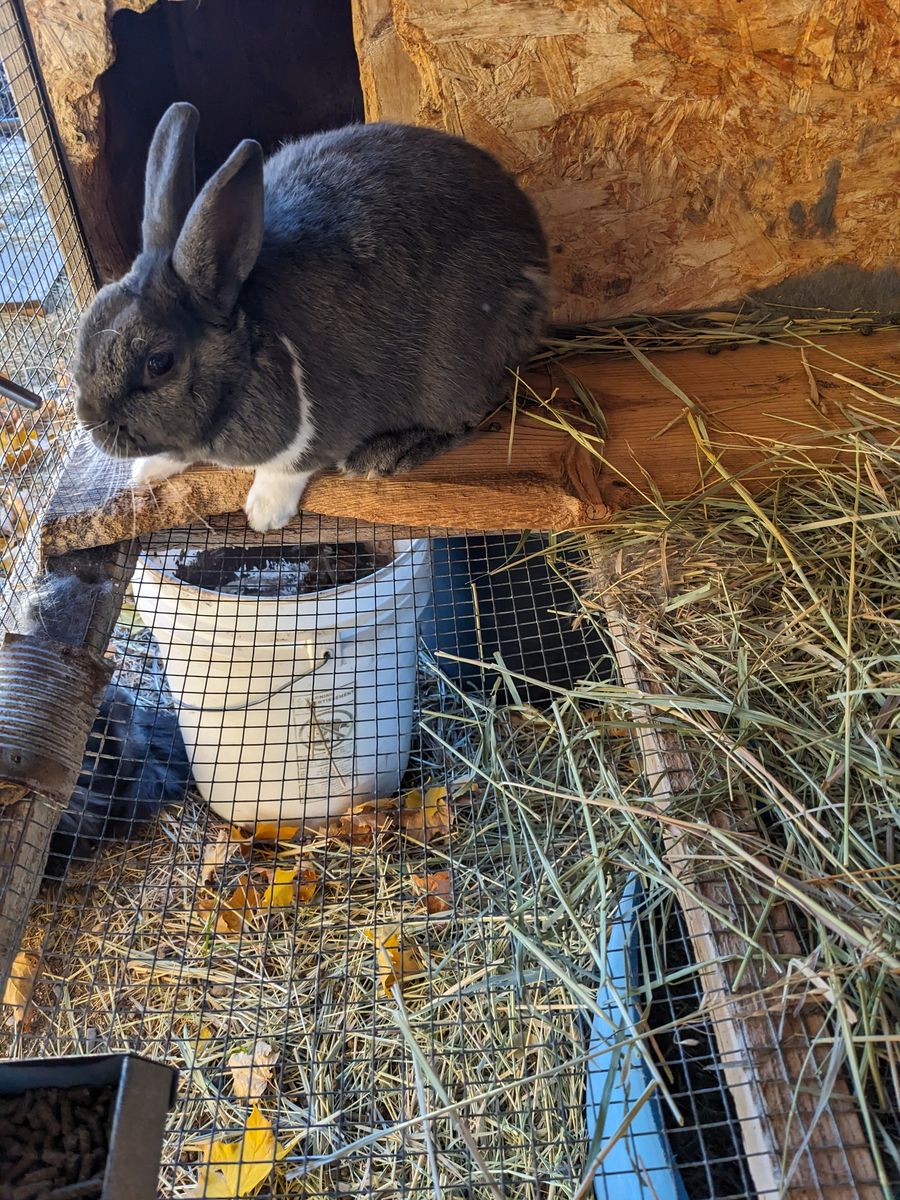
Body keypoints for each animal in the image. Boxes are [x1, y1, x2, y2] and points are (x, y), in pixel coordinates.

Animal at [73, 103, 550, 532]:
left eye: (159, 363)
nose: (93, 425)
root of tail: (537, 251)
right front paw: (146, 471)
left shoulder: (320, 426)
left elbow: (290, 467)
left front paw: (264, 513)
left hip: (455, 370)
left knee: (469, 416)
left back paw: (384, 454)